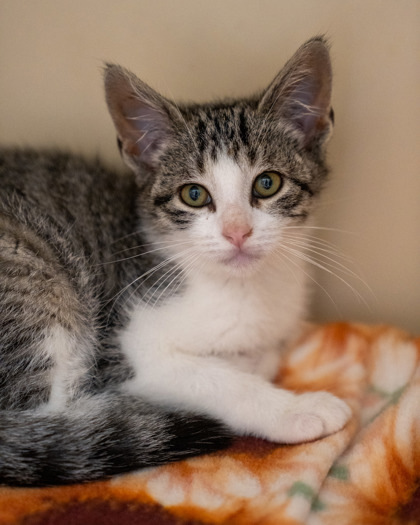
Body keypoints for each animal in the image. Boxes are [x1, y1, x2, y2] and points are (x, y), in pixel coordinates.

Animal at [0, 37, 350, 488]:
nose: (237, 232)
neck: (241, 291)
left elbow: (263, 356)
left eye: (267, 183)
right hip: (35, 280)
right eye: (194, 195)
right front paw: (295, 409)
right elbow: (215, 378)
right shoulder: (130, 348)